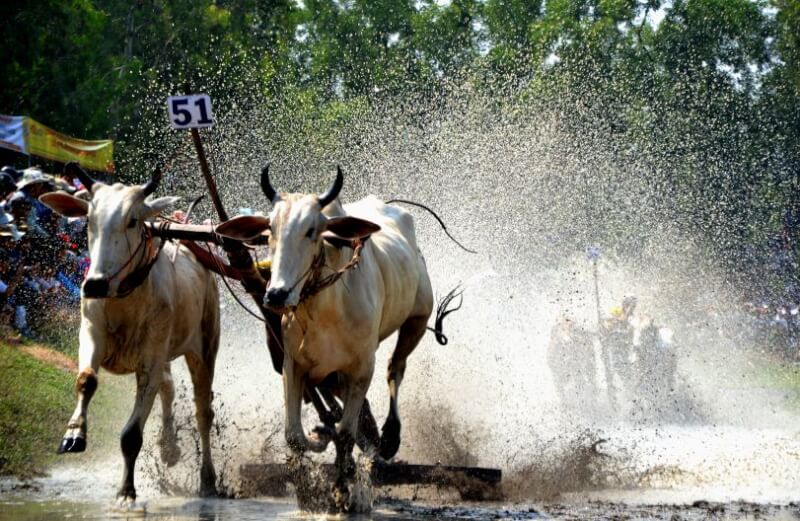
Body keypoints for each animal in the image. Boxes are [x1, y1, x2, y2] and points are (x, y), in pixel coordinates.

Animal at [39, 163, 221, 505]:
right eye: (90, 219)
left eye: (133, 220)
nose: (95, 283)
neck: (124, 299)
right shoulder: (91, 333)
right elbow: (87, 380)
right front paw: (73, 434)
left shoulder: (150, 360)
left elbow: (132, 435)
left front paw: (126, 491)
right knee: (169, 388)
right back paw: (169, 447)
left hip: (204, 348)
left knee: (203, 411)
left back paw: (208, 479)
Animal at [216, 166, 436, 502]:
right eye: (270, 230)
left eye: (311, 230)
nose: (276, 294)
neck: (325, 309)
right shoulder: (293, 365)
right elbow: (294, 435)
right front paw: (314, 459)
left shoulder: (362, 368)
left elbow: (346, 433)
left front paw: (342, 489)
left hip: (418, 319)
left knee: (395, 370)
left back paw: (389, 437)